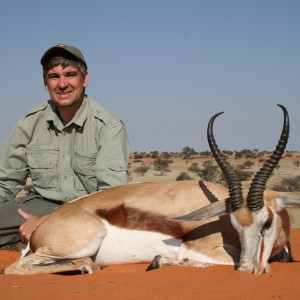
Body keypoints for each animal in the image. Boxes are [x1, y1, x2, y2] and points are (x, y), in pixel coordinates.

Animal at [2, 106, 300, 276]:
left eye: (266, 223)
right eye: (235, 225)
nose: (250, 270)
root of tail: (40, 229)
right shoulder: (206, 250)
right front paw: (163, 261)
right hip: (82, 243)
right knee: (14, 268)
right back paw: (87, 267)